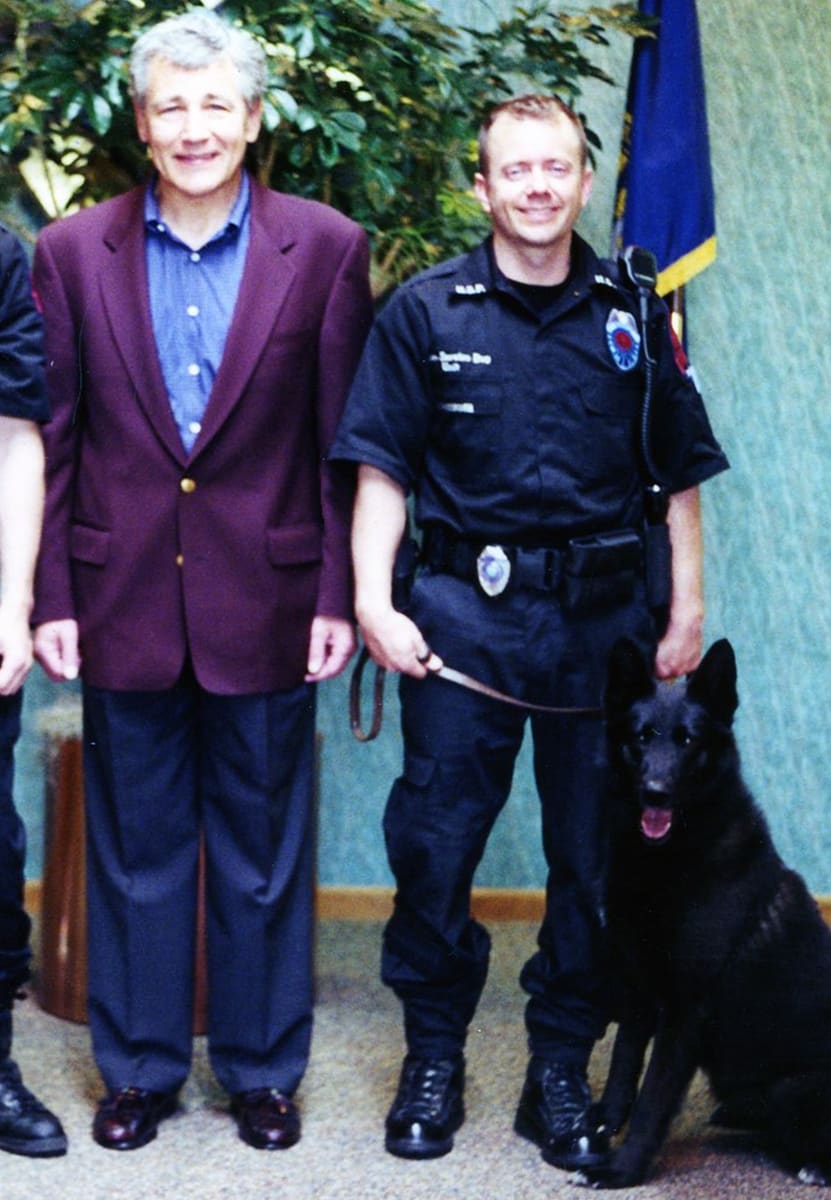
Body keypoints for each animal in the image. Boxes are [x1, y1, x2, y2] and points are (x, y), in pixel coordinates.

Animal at [581, 638, 831, 1190]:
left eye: (688, 740)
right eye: (642, 737)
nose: (655, 791)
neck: (667, 860)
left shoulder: (683, 1011)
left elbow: (653, 1099)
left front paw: (623, 1168)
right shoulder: (636, 992)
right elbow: (623, 1066)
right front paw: (605, 1123)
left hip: (790, 1089)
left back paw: (814, 1165)